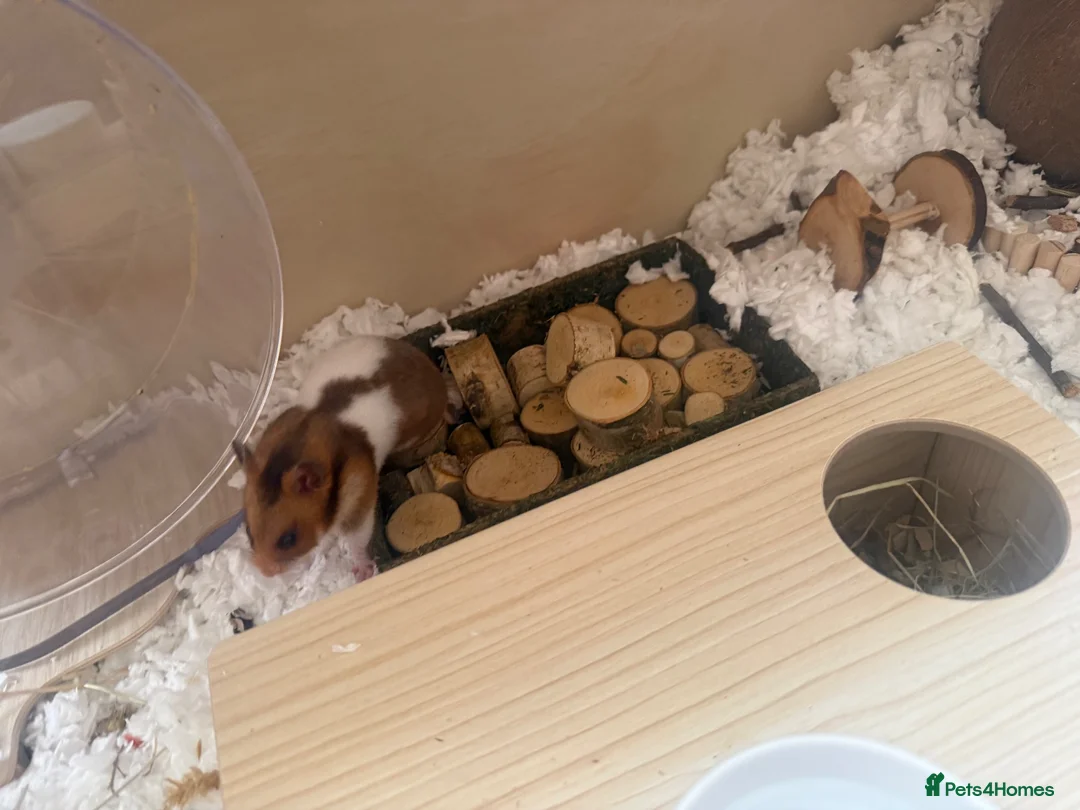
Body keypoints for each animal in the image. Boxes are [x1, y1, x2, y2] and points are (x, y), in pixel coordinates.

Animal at [233, 335, 448, 578]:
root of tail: (423, 360)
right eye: (249, 532)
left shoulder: (358, 504)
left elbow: (356, 540)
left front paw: (362, 573)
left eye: (288, 539)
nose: (265, 574)